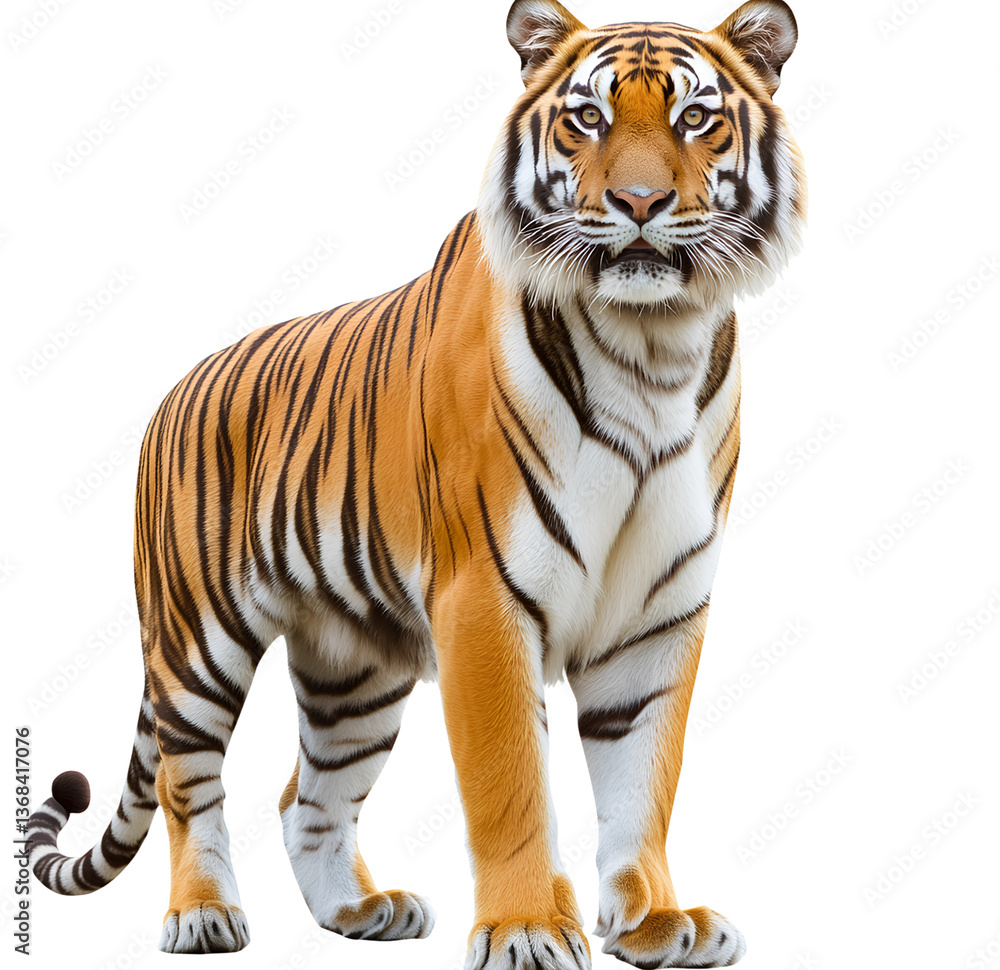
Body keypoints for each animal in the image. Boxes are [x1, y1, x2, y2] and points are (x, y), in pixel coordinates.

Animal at [27, 1, 806, 967]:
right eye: (587, 118)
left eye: (696, 118)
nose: (637, 204)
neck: (651, 345)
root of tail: (172, 392)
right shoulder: (484, 598)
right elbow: (510, 782)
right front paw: (527, 929)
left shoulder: (659, 613)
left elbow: (643, 781)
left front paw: (656, 923)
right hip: (196, 639)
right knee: (187, 780)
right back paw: (204, 915)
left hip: (353, 670)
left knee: (306, 797)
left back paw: (360, 911)